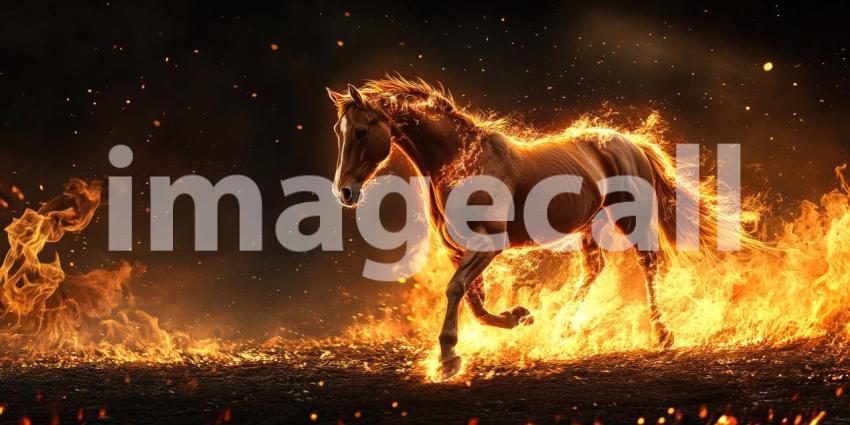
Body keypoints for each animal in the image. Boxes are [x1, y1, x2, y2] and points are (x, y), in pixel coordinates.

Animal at [327, 76, 715, 380]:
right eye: (338, 131)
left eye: (360, 131)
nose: (344, 192)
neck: (464, 161)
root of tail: (630, 142)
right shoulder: (458, 249)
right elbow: (474, 302)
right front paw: (519, 317)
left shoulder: (488, 243)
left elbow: (456, 290)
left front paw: (448, 359)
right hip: (589, 225)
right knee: (594, 267)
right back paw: (563, 327)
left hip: (629, 218)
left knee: (647, 263)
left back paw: (662, 334)